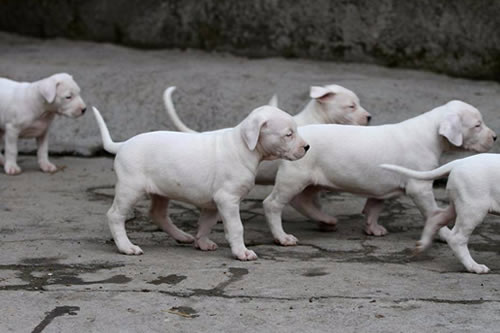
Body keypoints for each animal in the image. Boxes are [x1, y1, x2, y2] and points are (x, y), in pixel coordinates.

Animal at [92, 102, 306, 260]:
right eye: (288, 134)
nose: (307, 147)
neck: (243, 146)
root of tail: (123, 145)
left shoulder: (213, 203)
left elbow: (206, 224)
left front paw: (202, 243)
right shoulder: (227, 199)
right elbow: (236, 227)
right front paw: (241, 252)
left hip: (161, 191)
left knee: (157, 214)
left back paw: (182, 236)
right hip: (130, 189)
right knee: (115, 216)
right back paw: (126, 247)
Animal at [262, 98, 496, 244]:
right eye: (477, 125)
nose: (495, 137)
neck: (430, 132)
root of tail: (298, 137)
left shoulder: (380, 188)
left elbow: (374, 207)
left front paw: (372, 228)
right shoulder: (419, 187)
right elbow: (432, 211)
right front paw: (444, 233)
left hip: (311, 181)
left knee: (302, 201)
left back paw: (326, 220)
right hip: (294, 177)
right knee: (273, 204)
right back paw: (282, 237)